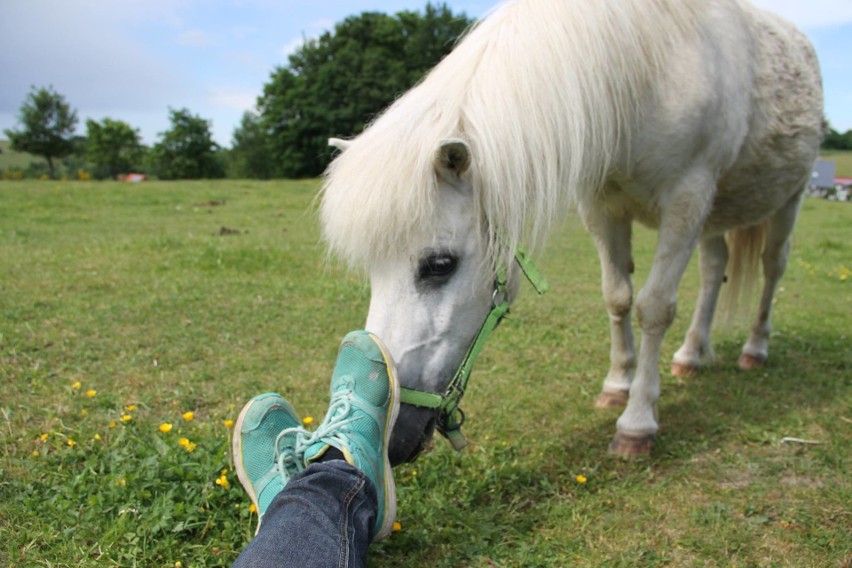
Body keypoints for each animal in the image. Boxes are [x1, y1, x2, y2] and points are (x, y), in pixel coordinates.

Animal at [318, 0, 820, 464]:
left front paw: (637, 423)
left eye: (439, 265)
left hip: (785, 201)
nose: (389, 437)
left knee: (772, 270)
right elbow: (617, 297)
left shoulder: (686, 197)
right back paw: (691, 355)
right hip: (716, 217)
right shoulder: (602, 206)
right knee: (716, 271)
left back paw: (755, 348)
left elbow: (654, 308)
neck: (649, 68)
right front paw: (617, 385)